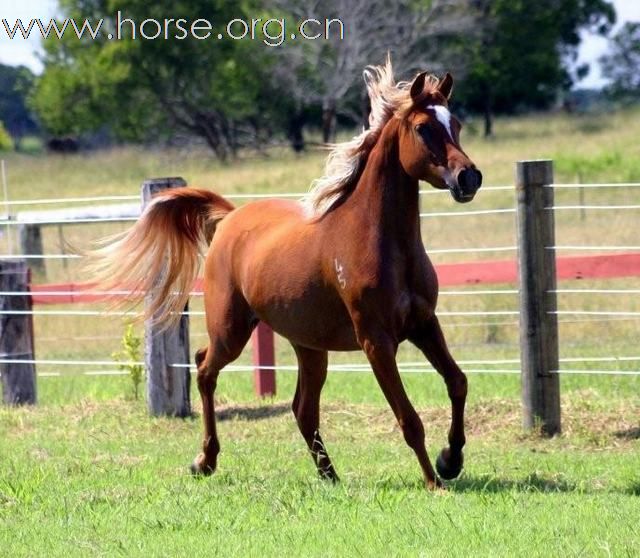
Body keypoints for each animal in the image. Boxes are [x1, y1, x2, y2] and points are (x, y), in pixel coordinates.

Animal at [92, 61, 482, 490]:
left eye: (456, 123)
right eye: (423, 128)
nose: (469, 178)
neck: (381, 242)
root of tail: (230, 217)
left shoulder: (424, 324)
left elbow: (458, 382)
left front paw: (451, 460)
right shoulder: (377, 341)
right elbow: (409, 419)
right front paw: (435, 481)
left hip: (309, 345)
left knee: (302, 408)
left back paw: (329, 475)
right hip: (231, 330)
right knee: (204, 368)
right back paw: (205, 461)